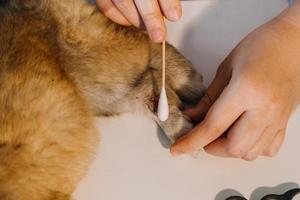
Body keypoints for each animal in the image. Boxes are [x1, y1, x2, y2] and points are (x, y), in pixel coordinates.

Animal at [0, 0, 205, 199]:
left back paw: (188, 83)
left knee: (149, 41)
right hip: (103, 91)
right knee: (147, 83)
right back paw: (180, 129)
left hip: (99, 60)